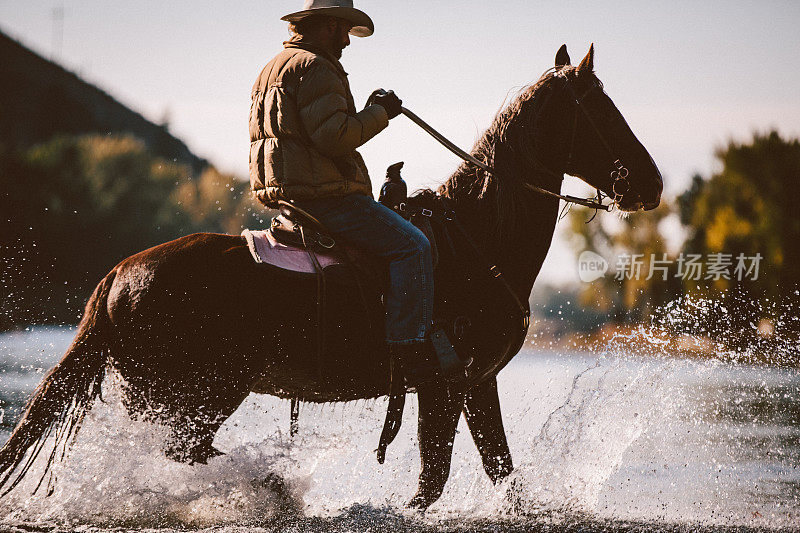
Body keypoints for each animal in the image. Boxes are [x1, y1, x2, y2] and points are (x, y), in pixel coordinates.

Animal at [0, 44, 664, 508]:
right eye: (600, 110)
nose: (652, 183)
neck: (477, 239)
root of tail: (115, 277)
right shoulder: (444, 386)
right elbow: (432, 481)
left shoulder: (476, 384)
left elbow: (499, 470)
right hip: (199, 395)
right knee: (184, 454)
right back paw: (267, 485)